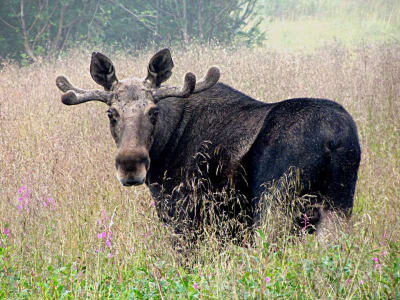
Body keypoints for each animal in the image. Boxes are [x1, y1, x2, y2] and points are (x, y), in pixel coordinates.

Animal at [57, 48, 362, 241]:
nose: (130, 165)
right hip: (338, 207)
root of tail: (334, 139)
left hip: (275, 203)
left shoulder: (185, 218)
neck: (164, 148)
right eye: (111, 113)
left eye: (154, 112)